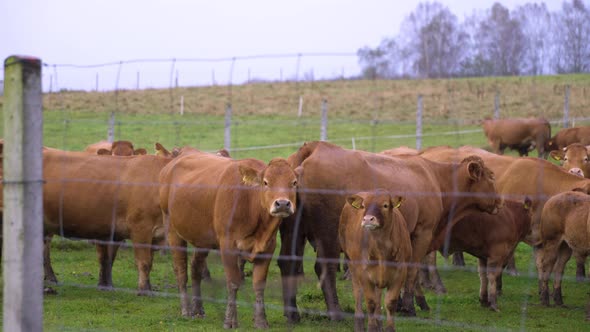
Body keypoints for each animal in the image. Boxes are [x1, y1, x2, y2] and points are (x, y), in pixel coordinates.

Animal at [160, 152, 300, 328]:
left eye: (294, 182)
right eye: (266, 182)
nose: (282, 204)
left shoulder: (268, 248)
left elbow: (259, 285)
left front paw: (261, 321)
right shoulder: (227, 246)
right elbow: (233, 283)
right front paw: (230, 320)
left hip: (202, 239)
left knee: (195, 267)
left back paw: (198, 309)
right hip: (172, 229)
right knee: (180, 270)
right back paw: (185, 310)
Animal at [340, 189, 414, 332]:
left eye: (385, 205)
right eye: (363, 206)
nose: (368, 219)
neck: (381, 250)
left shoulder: (400, 273)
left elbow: (390, 303)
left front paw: (389, 328)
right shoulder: (364, 273)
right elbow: (370, 302)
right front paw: (371, 327)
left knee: (378, 294)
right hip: (351, 262)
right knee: (358, 292)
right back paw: (359, 323)